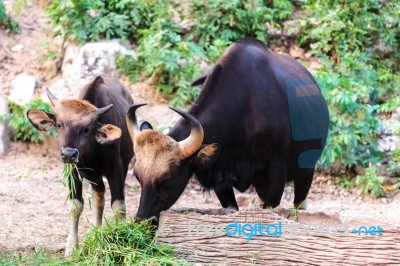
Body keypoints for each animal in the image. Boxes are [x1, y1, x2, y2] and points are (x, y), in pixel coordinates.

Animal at [127, 38, 328, 222]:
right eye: (137, 176)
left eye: (168, 179)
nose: (141, 220)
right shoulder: (221, 179)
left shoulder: (276, 170)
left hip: (306, 170)